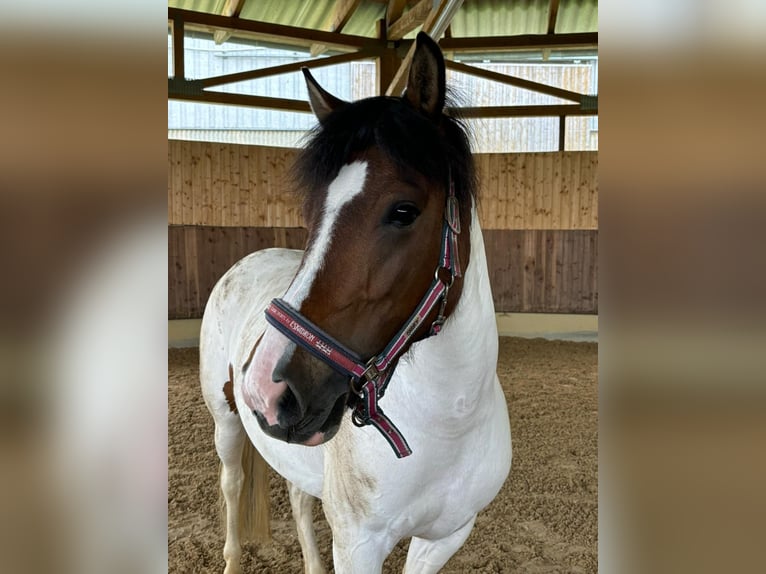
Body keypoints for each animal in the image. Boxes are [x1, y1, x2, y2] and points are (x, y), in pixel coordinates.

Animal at [202, 32, 516, 574]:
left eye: (404, 211)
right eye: (312, 211)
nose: (266, 388)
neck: (448, 427)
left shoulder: (446, 537)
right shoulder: (358, 545)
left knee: (299, 499)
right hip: (226, 425)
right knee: (233, 487)